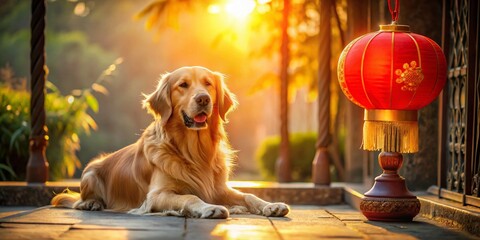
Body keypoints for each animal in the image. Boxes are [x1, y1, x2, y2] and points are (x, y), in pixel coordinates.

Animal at [51, 66, 288, 219]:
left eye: (208, 84)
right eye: (183, 85)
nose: (203, 98)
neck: (194, 152)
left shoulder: (218, 188)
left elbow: (249, 195)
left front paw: (271, 205)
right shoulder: (156, 196)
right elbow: (190, 197)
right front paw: (209, 208)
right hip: (90, 171)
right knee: (79, 200)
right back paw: (91, 203)